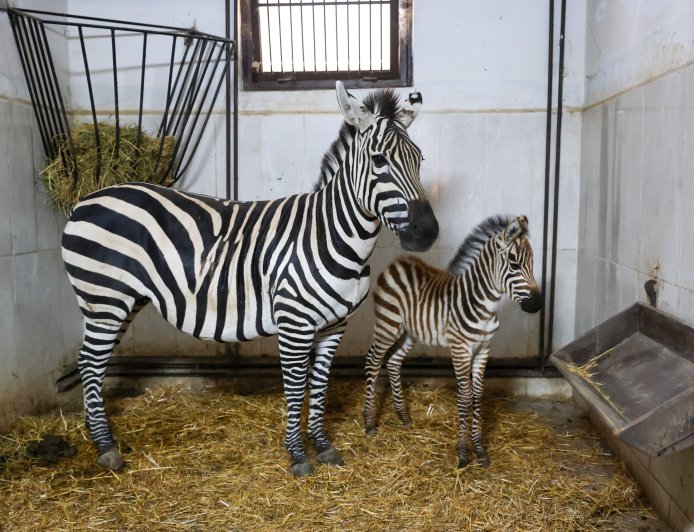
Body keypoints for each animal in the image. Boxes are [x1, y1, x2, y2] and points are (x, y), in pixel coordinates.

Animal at [62, 81, 439, 477]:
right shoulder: (294, 323)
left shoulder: (335, 325)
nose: (427, 232)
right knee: (91, 363)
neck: (333, 234)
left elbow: (320, 384)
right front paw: (298, 455)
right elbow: (296, 386)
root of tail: (86, 198)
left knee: (91, 362)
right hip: (105, 298)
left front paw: (323, 445)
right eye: (379, 160)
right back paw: (106, 448)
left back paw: (95, 432)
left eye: (419, 160)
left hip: (122, 301)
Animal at [363, 214, 541, 468]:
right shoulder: (460, 349)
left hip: (409, 332)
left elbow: (478, 395)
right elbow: (465, 397)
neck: (484, 305)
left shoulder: (483, 349)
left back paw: (404, 417)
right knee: (373, 361)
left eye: (532, 264)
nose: (537, 304)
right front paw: (464, 452)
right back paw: (369, 423)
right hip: (388, 325)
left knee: (393, 362)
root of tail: (397, 262)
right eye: (514, 264)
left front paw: (480, 450)